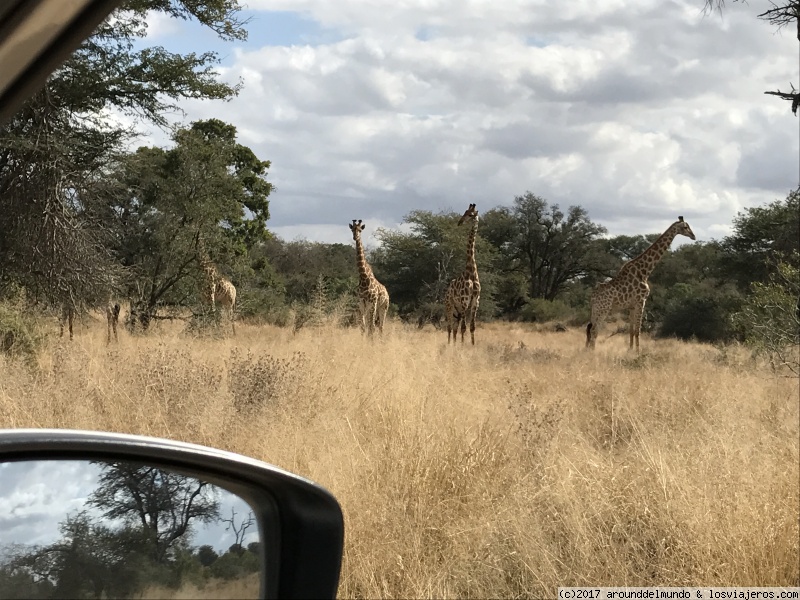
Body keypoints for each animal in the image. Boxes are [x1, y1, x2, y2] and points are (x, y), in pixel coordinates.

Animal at [444, 203, 482, 344]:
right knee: (449, 327)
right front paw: (462, 346)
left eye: (471, 214)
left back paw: (454, 344)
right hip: (449, 306)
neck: (471, 272)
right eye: (464, 212)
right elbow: (464, 328)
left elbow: (472, 327)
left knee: (455, 327)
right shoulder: (465, 301)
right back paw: (449, 344)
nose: (459, 222)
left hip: (458, 310)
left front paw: (472, 345)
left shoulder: (475, 301)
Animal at [584, 216, 696, 352]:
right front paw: (638, 352)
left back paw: (587, 351)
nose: (693, 236)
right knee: (594, 330)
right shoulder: (641, 301)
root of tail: (593, 295)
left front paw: (630, 350)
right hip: (603, 309)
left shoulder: (632, 306)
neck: (644, 271)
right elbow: (638, 330)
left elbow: (631, 331)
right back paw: (592, 352)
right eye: (685, 227)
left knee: (589, 329)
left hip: (595, 309)